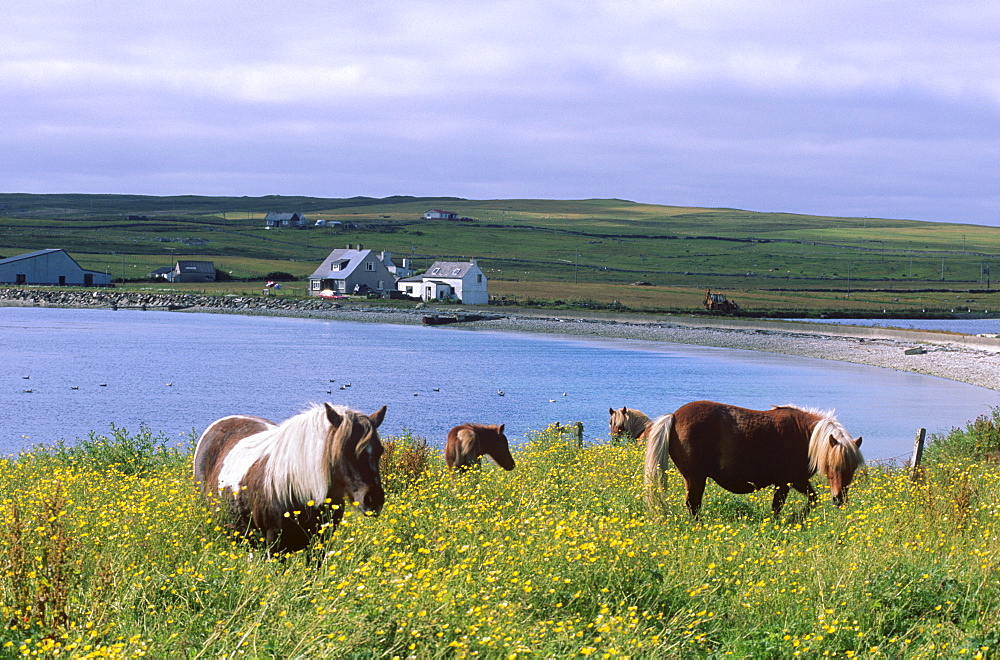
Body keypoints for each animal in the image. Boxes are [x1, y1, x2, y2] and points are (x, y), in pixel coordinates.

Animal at [644, 400, 864, 520]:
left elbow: (812, 499)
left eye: (853, 468)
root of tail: (674, 416)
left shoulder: (797, 481)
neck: (804, 436)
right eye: (831, 465)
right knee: (693, 504)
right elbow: (778, 507)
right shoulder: (785, 482)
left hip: (690, 478)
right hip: (696, 478)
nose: (839, 499)